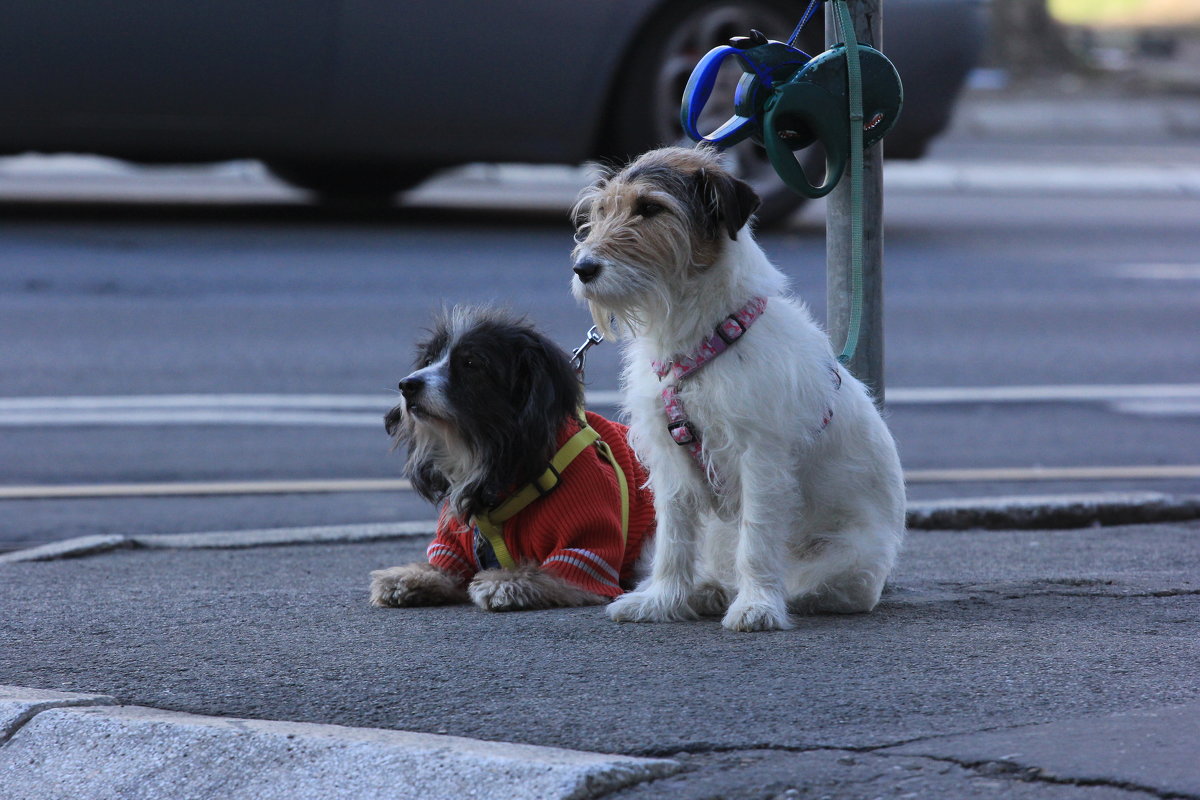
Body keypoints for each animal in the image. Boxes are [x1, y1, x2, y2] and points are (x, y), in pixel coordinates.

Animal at [374, 307, 657, 614]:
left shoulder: (586, 549)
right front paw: (409, 577)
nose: (407, 385)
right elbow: (442, 567)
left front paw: (506, 582)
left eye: (471, 363)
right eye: (428, 360)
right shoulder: (453, 546)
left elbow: (547, 573)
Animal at [568, 145, 902, 633]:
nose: (583, 268)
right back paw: (705, 591)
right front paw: (661, 600)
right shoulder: (671, 464)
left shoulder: (760, 457)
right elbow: (673, 541)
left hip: (843, 559)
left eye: (650, 208)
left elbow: (757, 539)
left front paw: (757, 605)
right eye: (602, 210)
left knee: (812, 583)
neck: (703, 340)